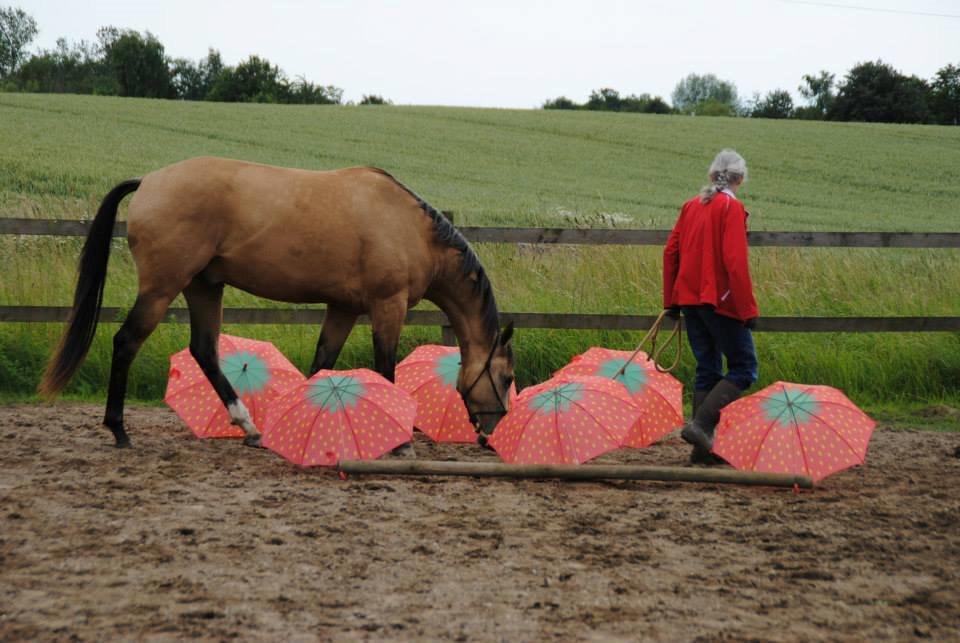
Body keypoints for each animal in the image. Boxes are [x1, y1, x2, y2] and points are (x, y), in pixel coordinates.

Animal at [38, 156, 512, 448]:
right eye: (506, 377)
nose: (492, 432)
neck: (410, 228)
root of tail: (150, 180)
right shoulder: (386, 307)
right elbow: (385, 370)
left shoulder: (343, 308)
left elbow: (321, 365)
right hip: (161, 288)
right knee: (126, 342)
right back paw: (119, 430)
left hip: (204, 288)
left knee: (205, 350)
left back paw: (247, 426)